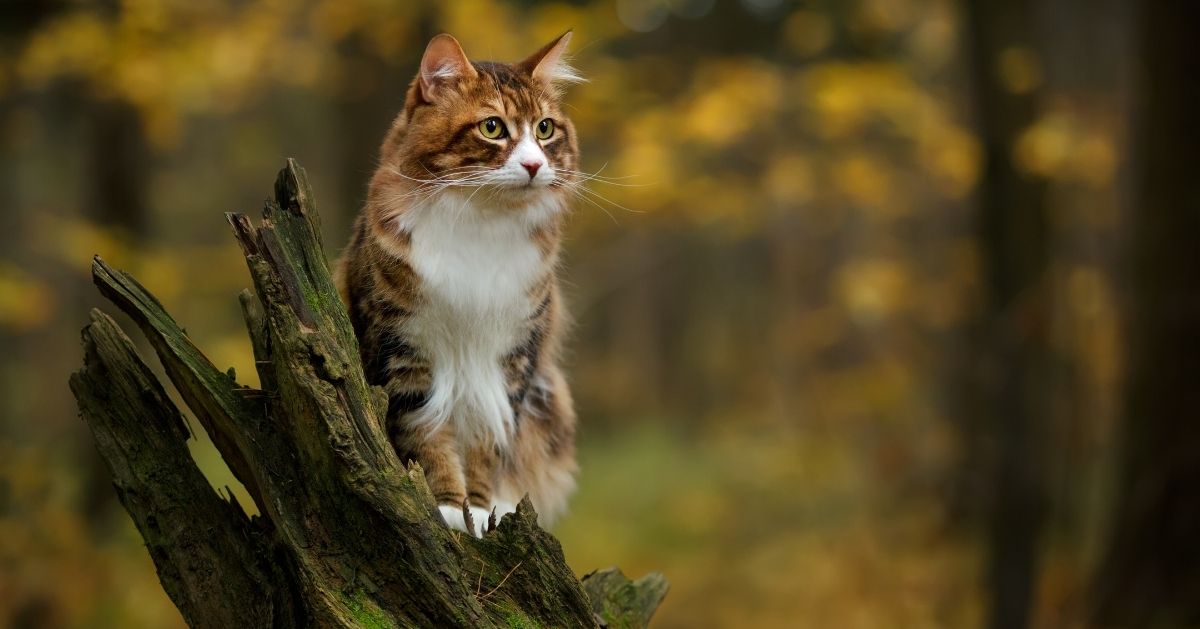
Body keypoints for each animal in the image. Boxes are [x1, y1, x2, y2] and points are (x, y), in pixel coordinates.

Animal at [336, 31, 583, 537]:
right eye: (492, 128)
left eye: (544, 129)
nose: (534, 164)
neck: (482, 220)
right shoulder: (404, 351)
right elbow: (425, 435)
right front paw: (450, 506)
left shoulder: (510, 361)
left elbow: (489, 443)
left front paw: (482, 508)